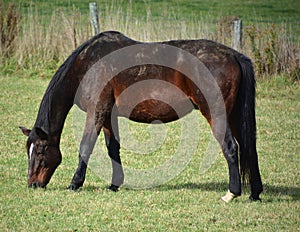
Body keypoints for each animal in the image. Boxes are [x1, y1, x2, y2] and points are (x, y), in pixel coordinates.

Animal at [19, 30, 262, 201]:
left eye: (40, 150)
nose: (33, 184)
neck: (88, 64)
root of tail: (234, 55)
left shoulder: (96, 112)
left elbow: (86, 147)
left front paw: (75, 183)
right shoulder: (108, 116)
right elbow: (113, 149)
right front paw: (114, 184)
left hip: (217, 114)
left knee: (231, 147)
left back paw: (232, 193)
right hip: (233, 115)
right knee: (249, 148)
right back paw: (255, 193)